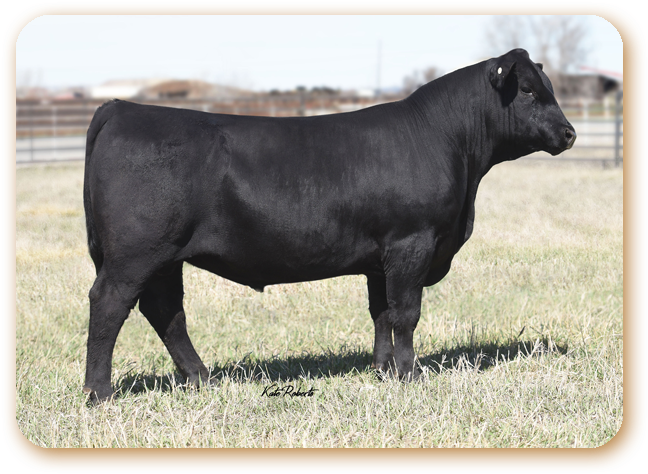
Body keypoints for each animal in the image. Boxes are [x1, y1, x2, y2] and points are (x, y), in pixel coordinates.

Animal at [82, 48, 575, 402]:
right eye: (527, 90)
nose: (569, 133)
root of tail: (123, 108)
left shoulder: (381, 258)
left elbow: (382, 313)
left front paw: (383, 369)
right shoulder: (411, 243)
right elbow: (407, 313)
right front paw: (410, 374)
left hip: (164, 257)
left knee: (166, 311)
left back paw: (202, 379)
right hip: (137, 253)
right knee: (110, 304)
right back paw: (100, 392)